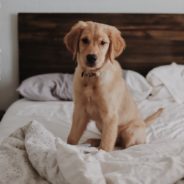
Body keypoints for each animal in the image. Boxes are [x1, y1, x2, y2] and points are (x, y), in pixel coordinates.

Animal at [63, 20, 162, 152]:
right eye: (84, 40)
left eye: (103, 43)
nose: (91, 57)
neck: (92, 76)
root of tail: (143, 123)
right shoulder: (80, 110)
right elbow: (72, 137)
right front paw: (68, 147)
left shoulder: (110, 115)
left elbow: (107, 143)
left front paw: (101, 152)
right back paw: (94, 141)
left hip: (130, 130)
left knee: (124, 144)